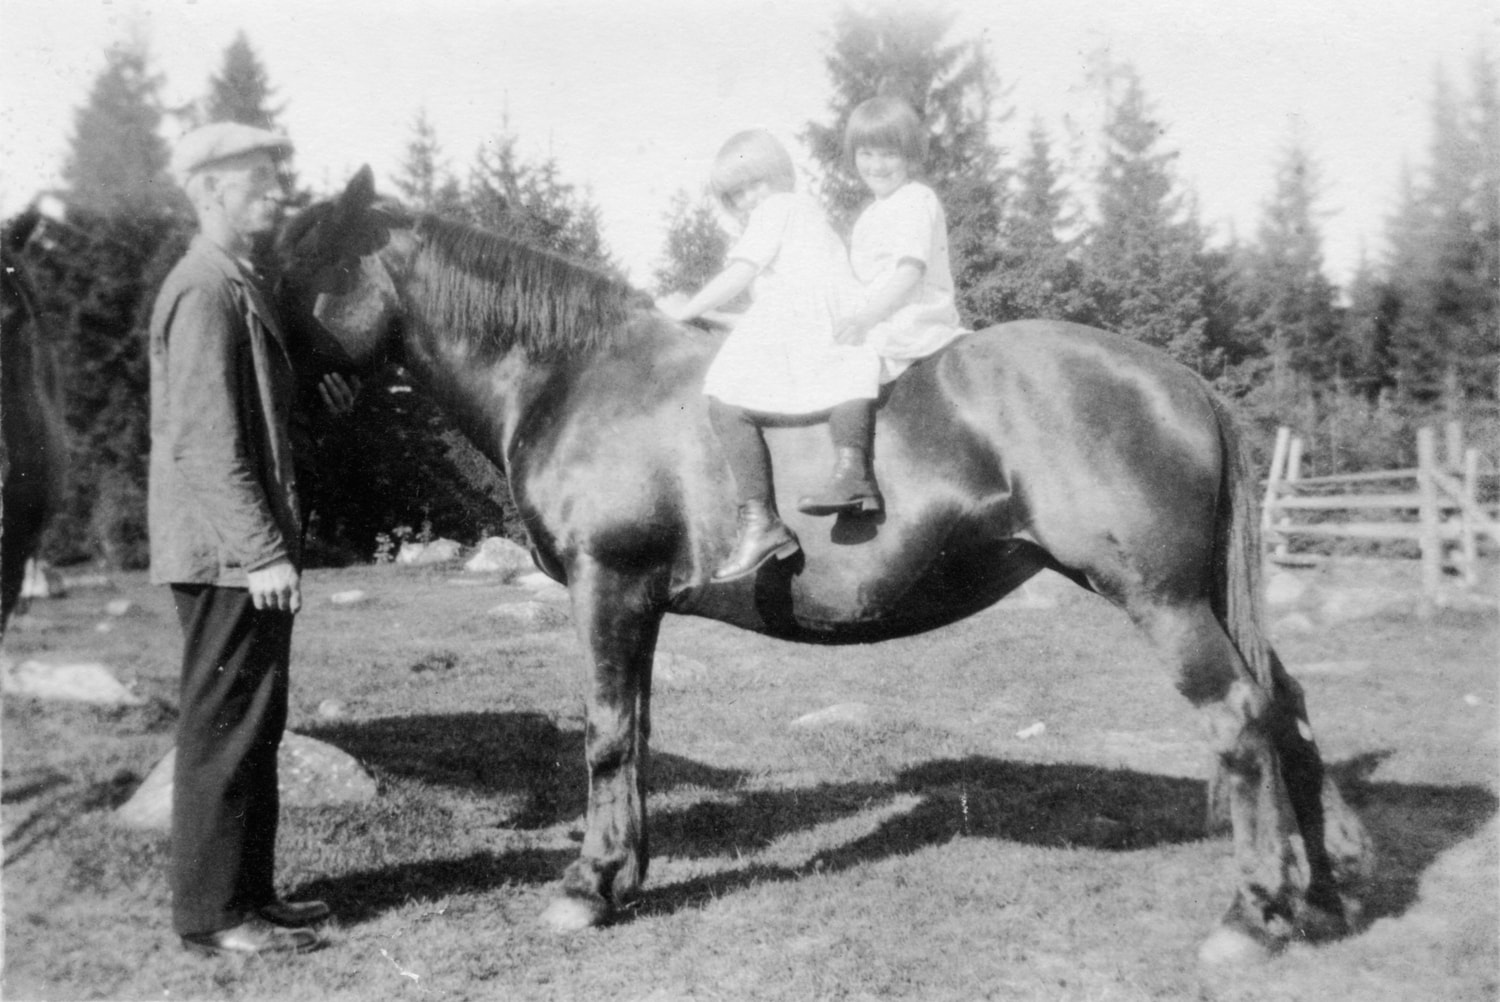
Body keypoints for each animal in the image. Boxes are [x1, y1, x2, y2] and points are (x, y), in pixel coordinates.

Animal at [273, 170, 1374, 960]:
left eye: (295, 261)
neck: (574, 375)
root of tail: (1179, 381)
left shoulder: (608, 585)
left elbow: (603, 736)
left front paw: (590, 889)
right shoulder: (639, 604)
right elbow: (635, 734)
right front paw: (626, 876)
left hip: (1165, 599)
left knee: (1238, 719)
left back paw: (1251, 915)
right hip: (1206, 599)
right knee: (1287, 706)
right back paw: (1320, 894)